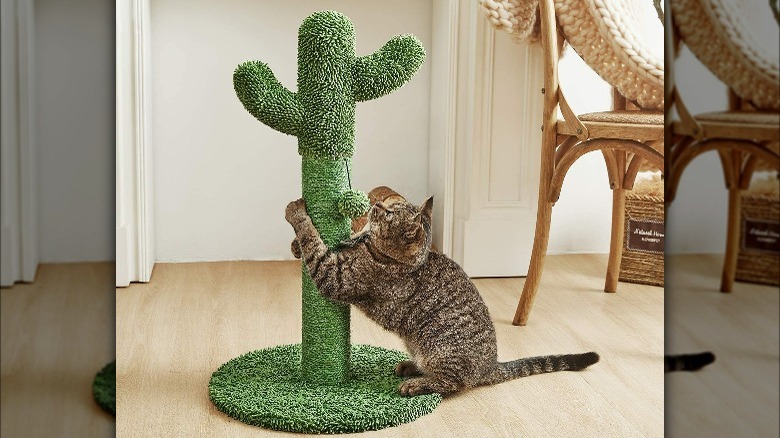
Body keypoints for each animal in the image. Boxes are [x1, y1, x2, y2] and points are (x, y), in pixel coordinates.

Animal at [284, 197, 596, 396]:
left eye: (389, 213)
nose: (377, 204)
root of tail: (491, 366)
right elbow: (324, 242)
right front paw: (295, 245)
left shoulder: (335, 276)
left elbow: (313, 242)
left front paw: (296, 214)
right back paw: (411, 367)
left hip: (437, 344)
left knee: (451, 384)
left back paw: (417, 383)